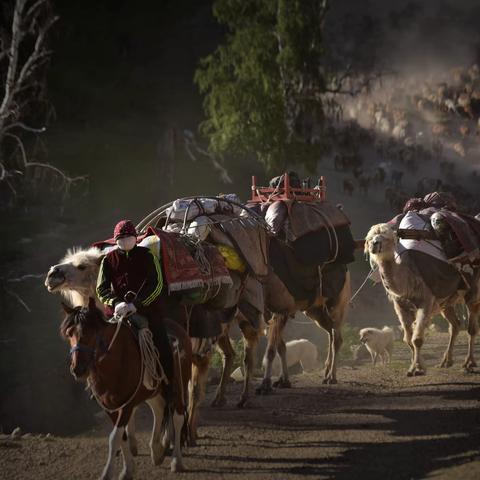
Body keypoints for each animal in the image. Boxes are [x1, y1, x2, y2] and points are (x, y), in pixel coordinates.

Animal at [61, 298, 192, 478]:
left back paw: (176, 461)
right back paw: (156, 451)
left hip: (178, 387)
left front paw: (108, 473)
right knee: (158, 409)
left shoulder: (127, 405)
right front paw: (128, 470)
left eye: (92, 331)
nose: (78, 369)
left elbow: (114, 437)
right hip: (153, 391)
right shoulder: (110, 407)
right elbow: (121, 437)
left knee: (178, 418)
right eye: (69, 333)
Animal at [366, 221, 478, 376]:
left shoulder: (425, 301)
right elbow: (408, 339)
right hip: (446, 302)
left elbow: (417, 339)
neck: (408, 279)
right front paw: (413, 367)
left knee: (471, 327)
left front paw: (418, 369)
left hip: (472, 289)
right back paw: (445, 362)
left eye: (388, 238)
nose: (375, 244)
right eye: (370, 238)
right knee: (455, 325)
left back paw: (469, 363)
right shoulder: (400, 306)